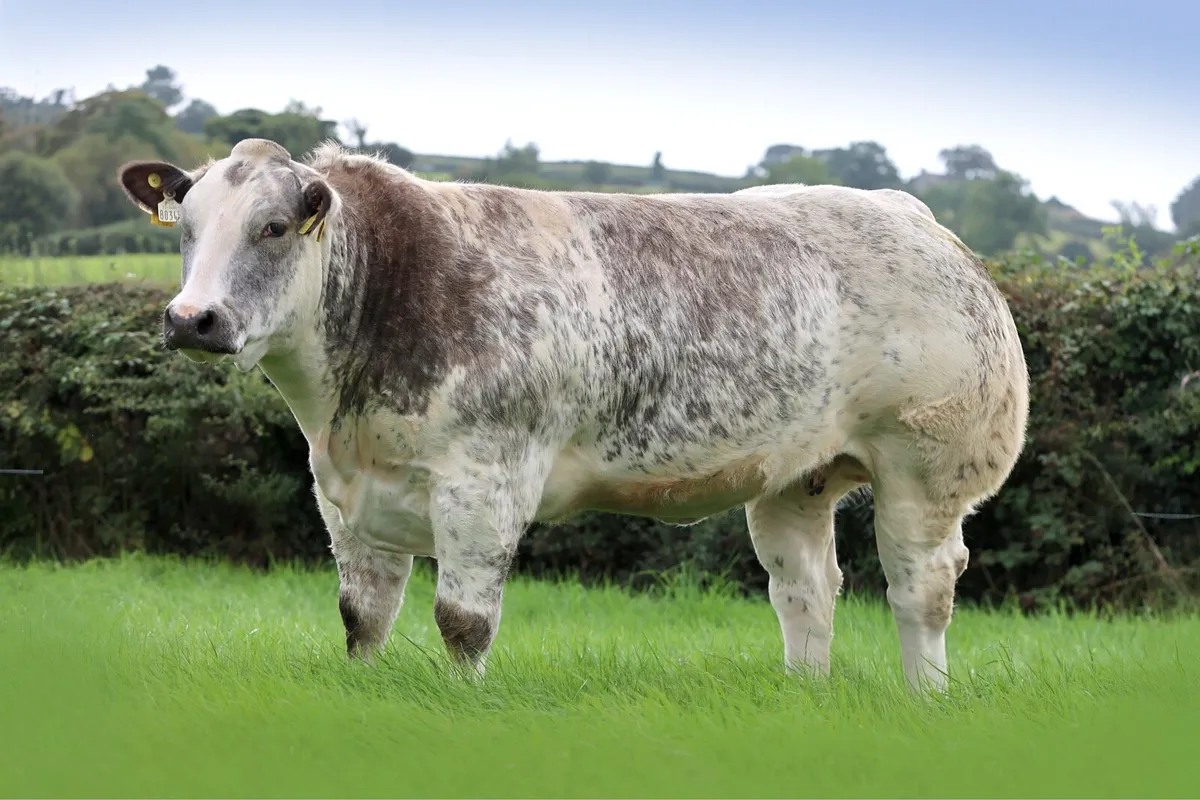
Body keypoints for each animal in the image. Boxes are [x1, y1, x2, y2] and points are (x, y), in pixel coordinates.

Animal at [116, 138, 1029, 693]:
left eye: (272, 227)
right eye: (185, 227)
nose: (191, 319)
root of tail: (916, 217)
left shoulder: (485, 482)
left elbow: (462, 621)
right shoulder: (346, 495)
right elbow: (361, 618)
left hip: (925, 468)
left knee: (920, 590)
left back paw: (924, 699)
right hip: (794, 477)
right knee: (807, 589)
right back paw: (805, 693)